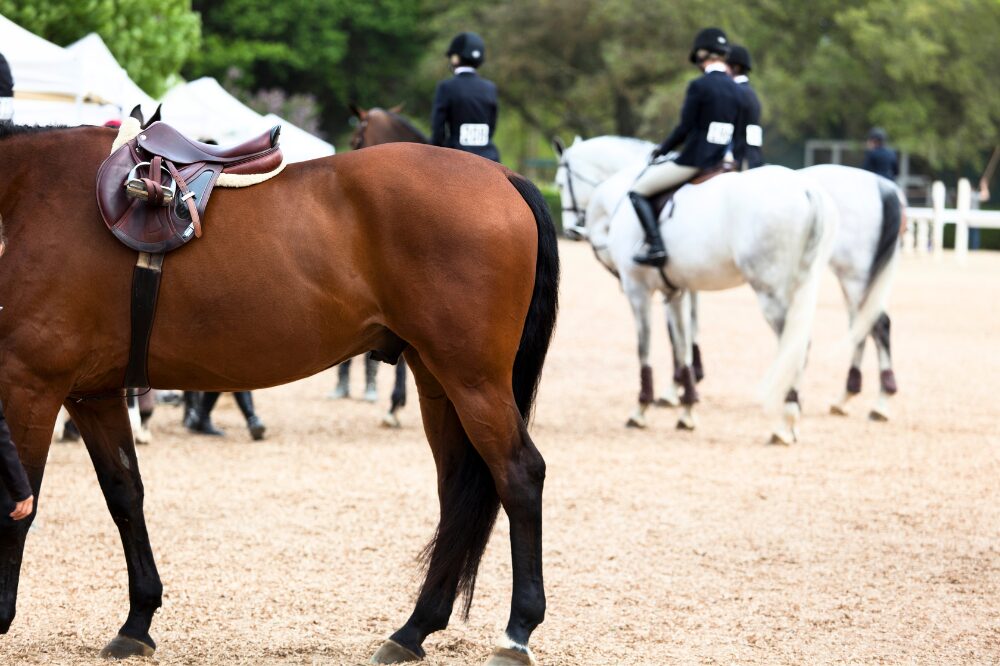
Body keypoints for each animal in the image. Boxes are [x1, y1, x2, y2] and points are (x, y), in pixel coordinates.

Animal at [554, 136, 904, 421]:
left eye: (559, 183)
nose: (572, 230)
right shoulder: (680, 286)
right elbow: (683, 336)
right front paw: (684, 392)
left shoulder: (642, 287)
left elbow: (660, 342)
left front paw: (662, 397)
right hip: (848, 279)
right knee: (863, 326)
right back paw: (850, 398)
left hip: (813, 281)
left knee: (852, 330)